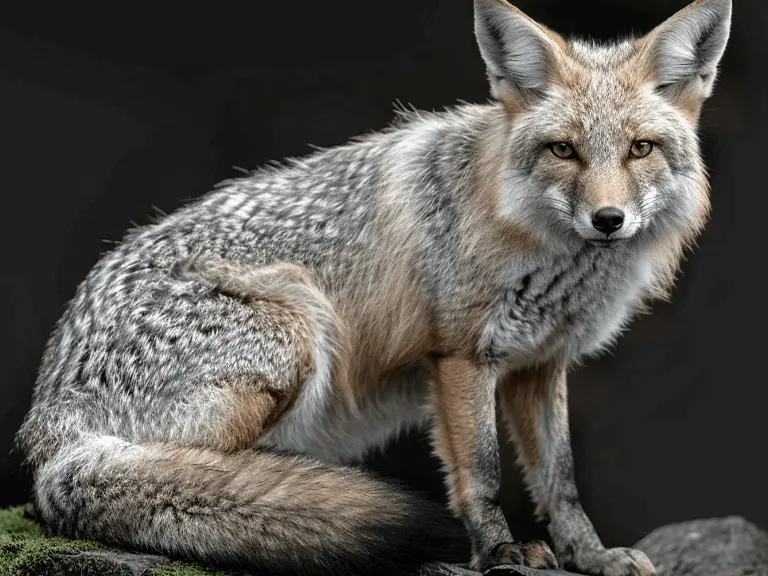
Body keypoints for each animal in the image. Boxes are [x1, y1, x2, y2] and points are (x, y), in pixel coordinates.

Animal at [15, 0, 732, 574]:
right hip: (298, 327)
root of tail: (49, 429)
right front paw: (498, 553)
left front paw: (591, 556)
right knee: (192, 476)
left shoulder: (540, 366)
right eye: (564, 151)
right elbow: (482, 474)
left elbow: (561, 484)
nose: (608, 220)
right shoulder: (461, 356)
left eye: (640, 149)